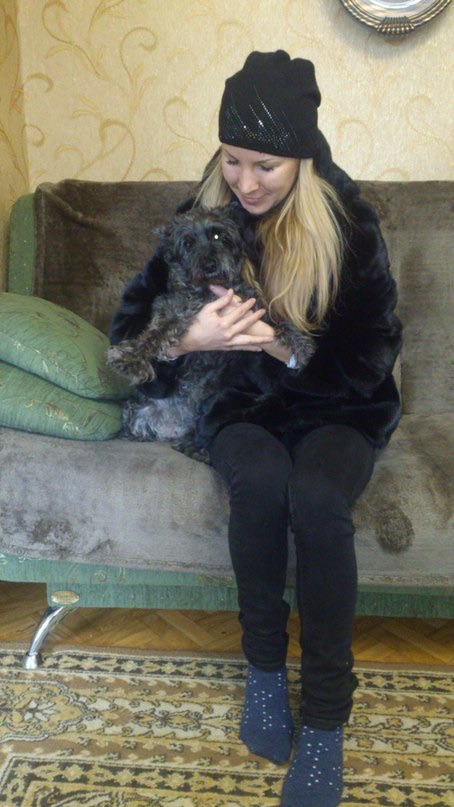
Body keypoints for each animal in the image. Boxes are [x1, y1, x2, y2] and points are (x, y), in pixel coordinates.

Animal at [107, 205, 315, 457]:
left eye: (217, 236)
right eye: (187, 243)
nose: (209, 264)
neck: (210, 291)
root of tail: (168, 431)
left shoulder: (252, 305)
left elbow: (274, 317)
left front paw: (299, 343)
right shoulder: (175, 310)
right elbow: (156, 333)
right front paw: (131, 358)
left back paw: (195, 449)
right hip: (135, 410)